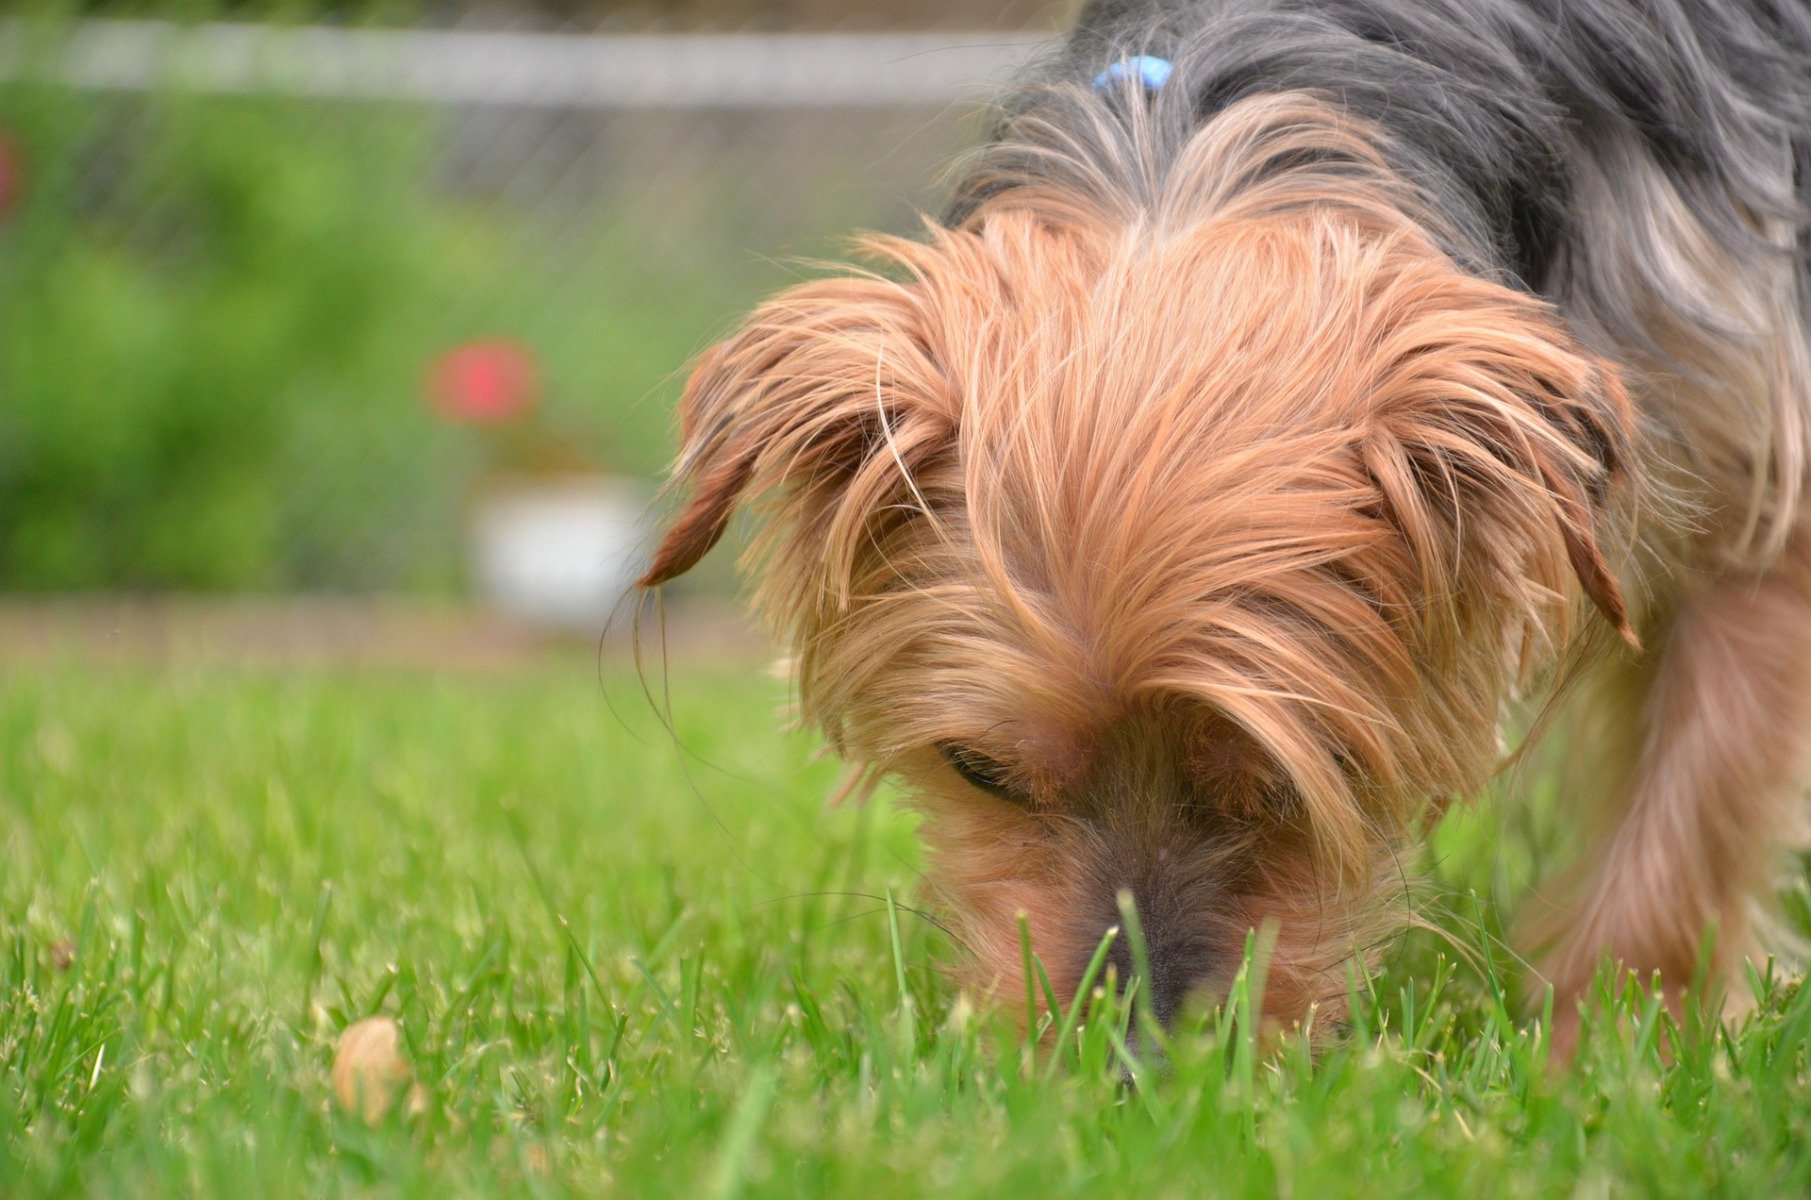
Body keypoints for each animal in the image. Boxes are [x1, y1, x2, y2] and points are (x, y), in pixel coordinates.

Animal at [633, 0, 1811, 1049]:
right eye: (979, 771)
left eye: (1298, 779)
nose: (1133, 1060)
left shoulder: (1756, 476)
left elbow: (1689, 818)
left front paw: (1605, 1053)